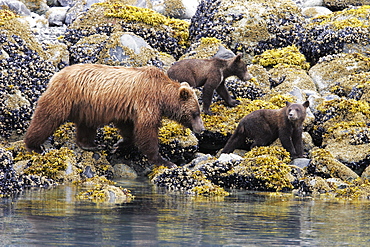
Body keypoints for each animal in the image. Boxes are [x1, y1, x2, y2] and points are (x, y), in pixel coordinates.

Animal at [24, 63, 205, 168]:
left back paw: (90, 144)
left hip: (86, 106)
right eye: (195, 113)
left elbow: (128, 127)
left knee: (86, 125)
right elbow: (146, 131)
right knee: (47, 117)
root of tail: (56, 74)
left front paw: (118, 145)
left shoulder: (128, 109)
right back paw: (34, 145)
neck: (162, 95)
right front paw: (164, 160)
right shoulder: (147, 101)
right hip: (66, 96)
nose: (201, 129)